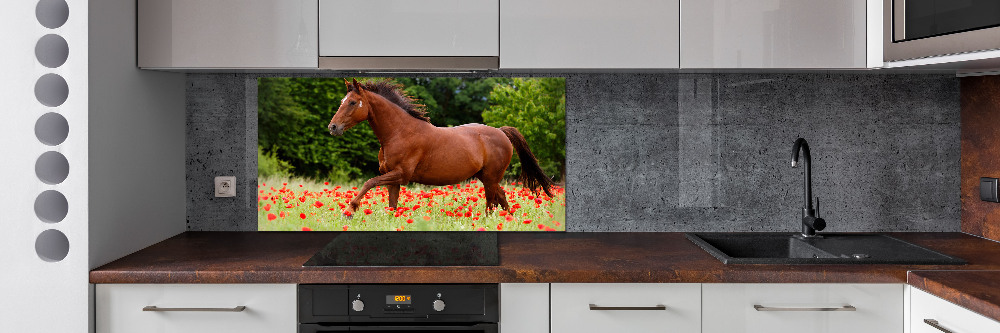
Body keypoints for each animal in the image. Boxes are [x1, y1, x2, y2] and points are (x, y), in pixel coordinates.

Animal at [328, 78, 556, 215]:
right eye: (342, 100)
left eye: (352, 102)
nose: (333, 127)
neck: (399, 132)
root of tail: (501, 132)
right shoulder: (393, 178)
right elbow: (392, 205)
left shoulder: (401, 174)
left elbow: (369, 182)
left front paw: (350, 209)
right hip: (487, 177)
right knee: (501, 198)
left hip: (490, 178)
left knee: (491, 202)